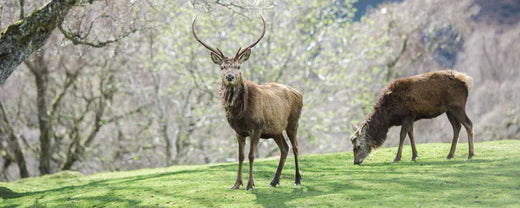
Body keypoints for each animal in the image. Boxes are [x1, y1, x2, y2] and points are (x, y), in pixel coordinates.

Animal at [193, 15, 302, 190]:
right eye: (222, 67)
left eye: (238, 66)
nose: (230, 76)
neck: (240, 113)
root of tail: (299, 93)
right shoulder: (238, 131)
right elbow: (240, 156)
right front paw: (236, 183)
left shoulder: (256, 128)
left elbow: (251, 156)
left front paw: (250, 184)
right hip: (275, 129)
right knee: (284, 148)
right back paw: (274, 181)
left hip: (293, 121)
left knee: (296, 147)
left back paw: (298, 179)